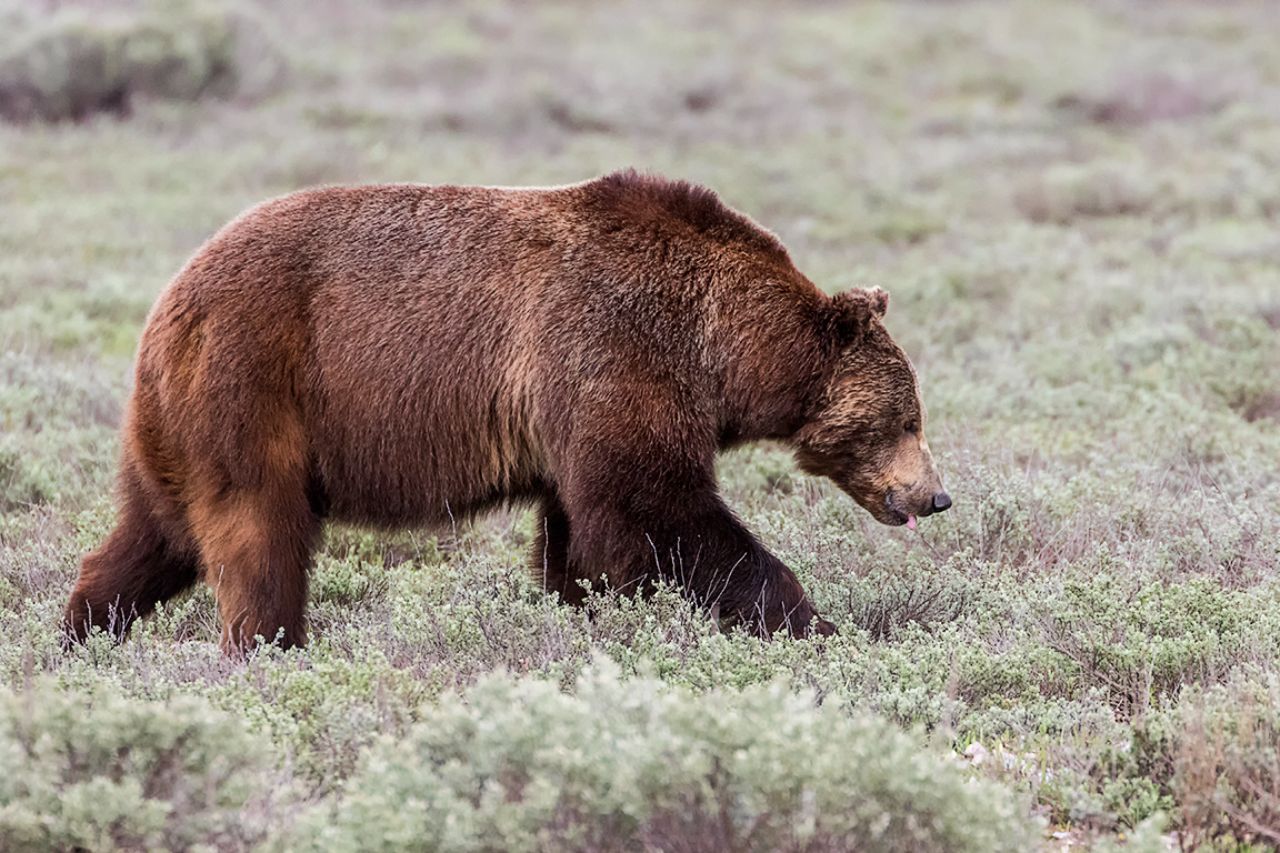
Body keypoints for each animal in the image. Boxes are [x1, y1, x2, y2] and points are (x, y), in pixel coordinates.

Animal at [63, 169, 950, 655]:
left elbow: (581, 536)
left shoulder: (573, 415)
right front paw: (813, 623)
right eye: (907, 418)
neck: (719, 352)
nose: (935, 494)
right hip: (255, 385)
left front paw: (585, 609)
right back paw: (269, 645)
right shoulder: (613, 353)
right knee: (258, 536)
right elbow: (660, 509)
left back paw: (82, 630)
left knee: (155, 535)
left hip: (175, 427)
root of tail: (170, 301)